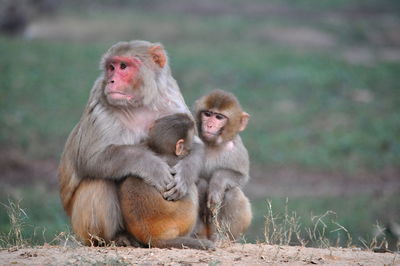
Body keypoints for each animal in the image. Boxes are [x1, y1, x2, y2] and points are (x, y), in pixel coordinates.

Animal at [58, 40, 203, 246]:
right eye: (111, 68)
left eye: (123, 66)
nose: (111, 81)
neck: (139, 102)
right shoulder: (100, 101)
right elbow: (90, 158)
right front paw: (152, 167)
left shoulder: (171, 96)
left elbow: (196, 144)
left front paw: (185, 174)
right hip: (81, 229)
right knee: (98, 181)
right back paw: (113, 238)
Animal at [118, 114, 212, 249]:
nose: (190, 148)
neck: (163, 153)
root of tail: (151, 236)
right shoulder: (175, 161)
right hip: (184, 217)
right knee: (191, 190)